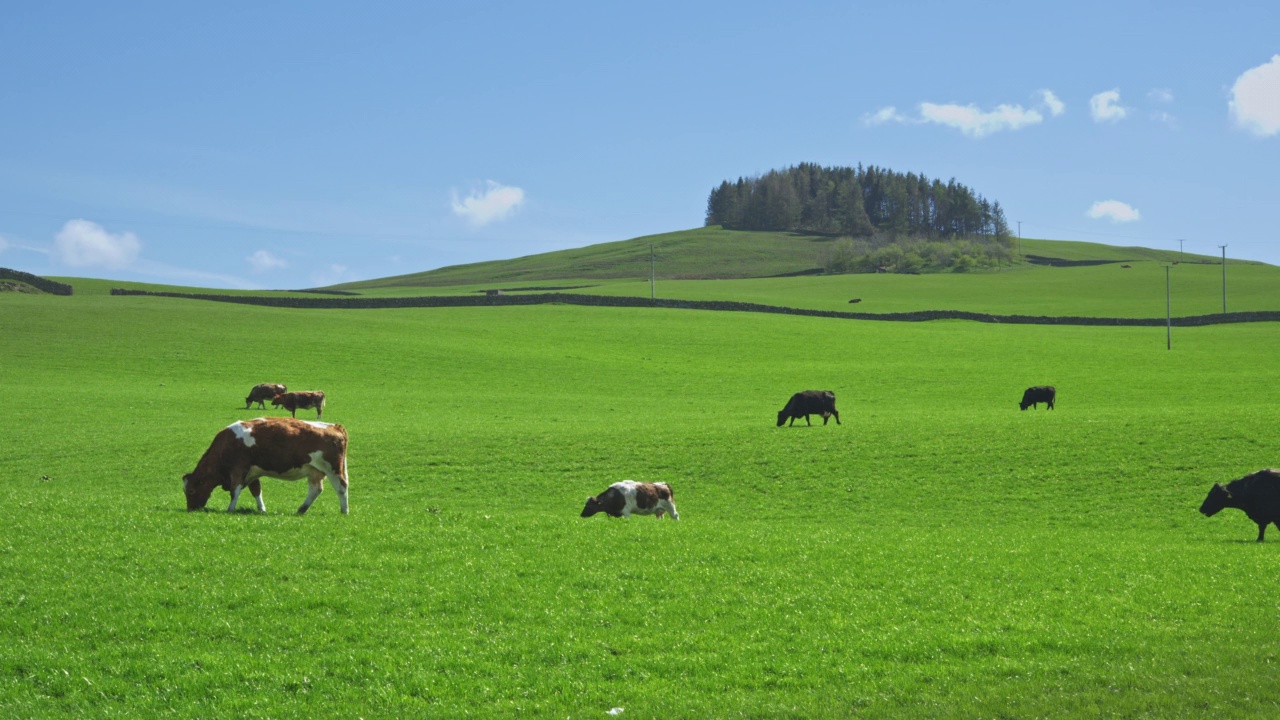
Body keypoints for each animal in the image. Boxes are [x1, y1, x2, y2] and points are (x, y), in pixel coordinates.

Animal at [181, 417, 350, 512]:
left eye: (191, 491)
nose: (191, 509)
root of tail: (334, 426)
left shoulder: (238, 469)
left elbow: (235, 491)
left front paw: (230, 509)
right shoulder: (252, 472)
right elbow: (256, 490)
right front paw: (262, 509)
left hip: (333, 468)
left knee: (341, 487)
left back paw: (344, 511)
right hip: (314, 471)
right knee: (315, 490)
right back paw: (301, 509)